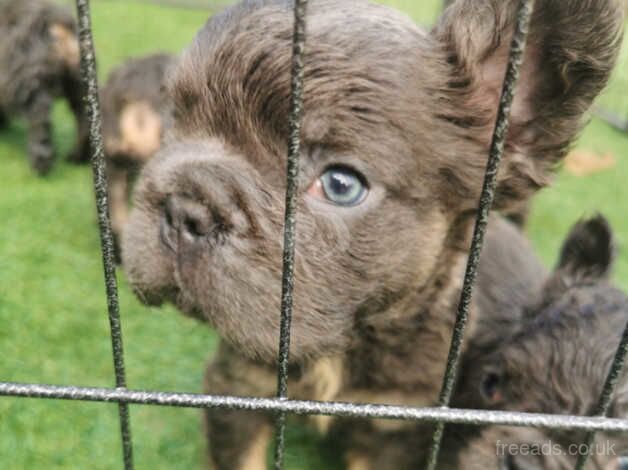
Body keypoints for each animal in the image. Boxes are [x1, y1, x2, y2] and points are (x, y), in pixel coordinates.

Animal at [0, 0, 88, 174]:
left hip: (31, 86)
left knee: (40, 125)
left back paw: (41, 164)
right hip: (78, 84)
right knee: (83, 121)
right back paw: (77, 157)